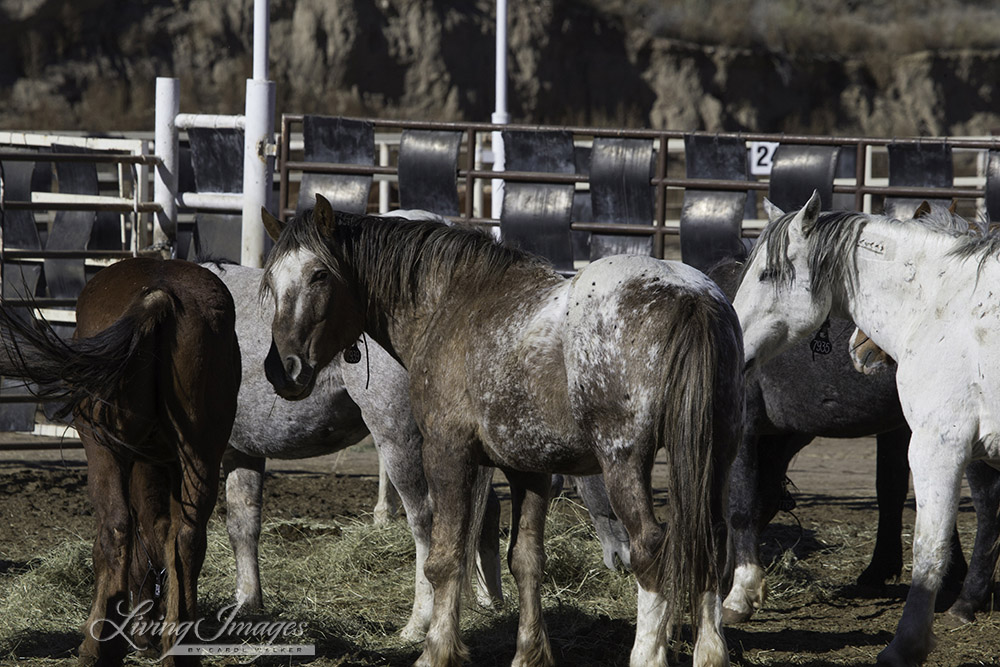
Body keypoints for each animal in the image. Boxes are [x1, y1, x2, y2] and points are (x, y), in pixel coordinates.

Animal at [0, 258, 240, 664]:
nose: (148, 636)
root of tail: (159, 295)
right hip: (202, 451)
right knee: (189, 538)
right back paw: (179, 647)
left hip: (104, 449)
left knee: (115, 529)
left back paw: (97, 645)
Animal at [728, 190, 1000, 664]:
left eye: (767, 273)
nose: (733, 344)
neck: (949, 308)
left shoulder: (938, 445)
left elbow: (929, 548)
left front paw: (905, 645)